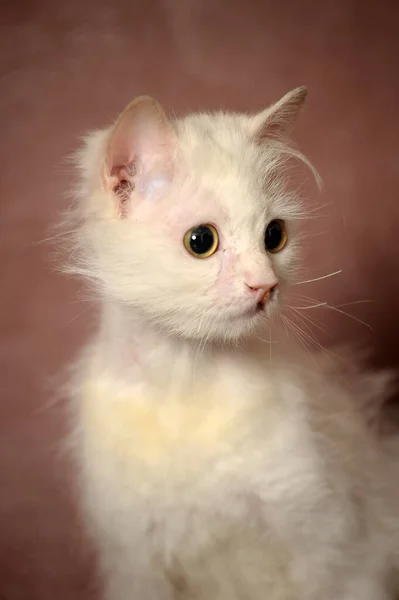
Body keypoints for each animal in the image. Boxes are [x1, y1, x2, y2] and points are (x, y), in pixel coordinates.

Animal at [65, 89, 399, 600]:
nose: (265, 286)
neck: (185, 381)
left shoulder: (328, 541)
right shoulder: (137, 561)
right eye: (201, 241)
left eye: (274, 236)